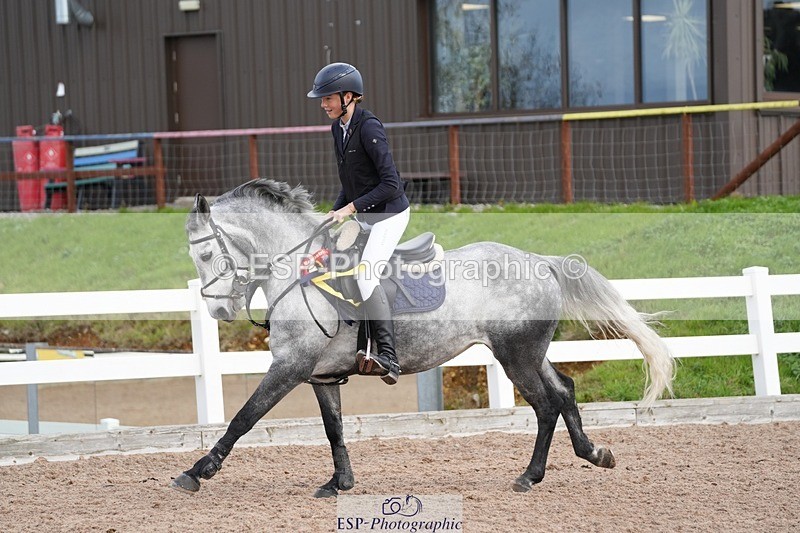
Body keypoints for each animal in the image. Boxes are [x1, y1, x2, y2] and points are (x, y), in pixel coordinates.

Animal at [172, 178, 675, 497]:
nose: (218, 310)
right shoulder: (320, 376)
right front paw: (339, 484)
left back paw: (530, 477)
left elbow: (244, 417)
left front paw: (197, 471)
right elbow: (334, 428)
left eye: (206, 254)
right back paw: (594, 453)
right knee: (565, 392)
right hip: (528, 353)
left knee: (546, 405)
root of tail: (540, 261)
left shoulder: (290, 367)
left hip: (515, 356)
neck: (299, 270)